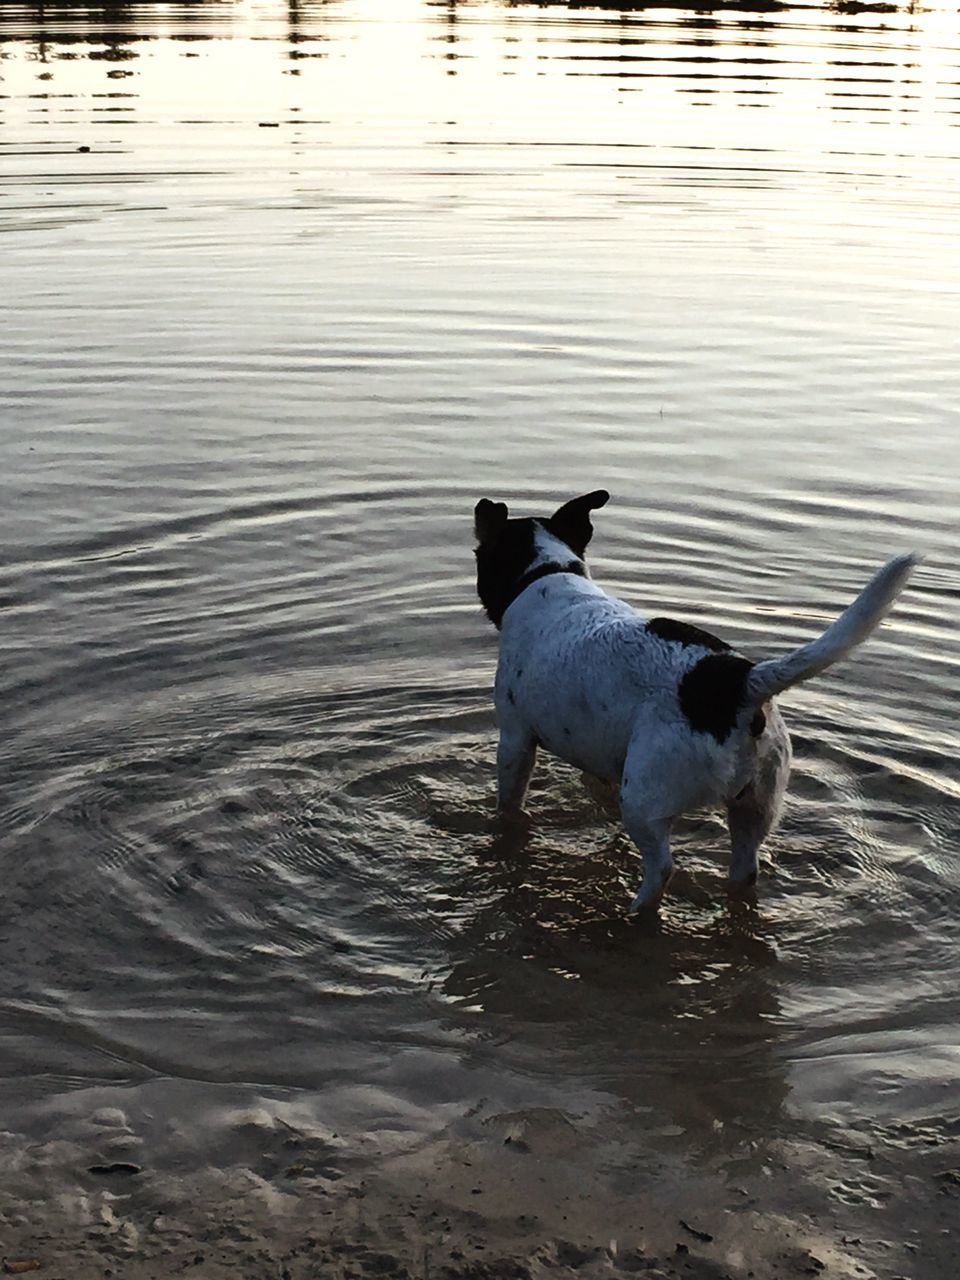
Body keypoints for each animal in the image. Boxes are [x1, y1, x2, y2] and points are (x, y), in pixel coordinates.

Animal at [478, 488, 921, 911]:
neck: (547, 574)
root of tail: (742, 683)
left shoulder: (515, 740)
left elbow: (509, 801)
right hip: (755, 808)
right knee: (745, 869)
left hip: (645, 800)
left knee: (662, 869)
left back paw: (635, 910)